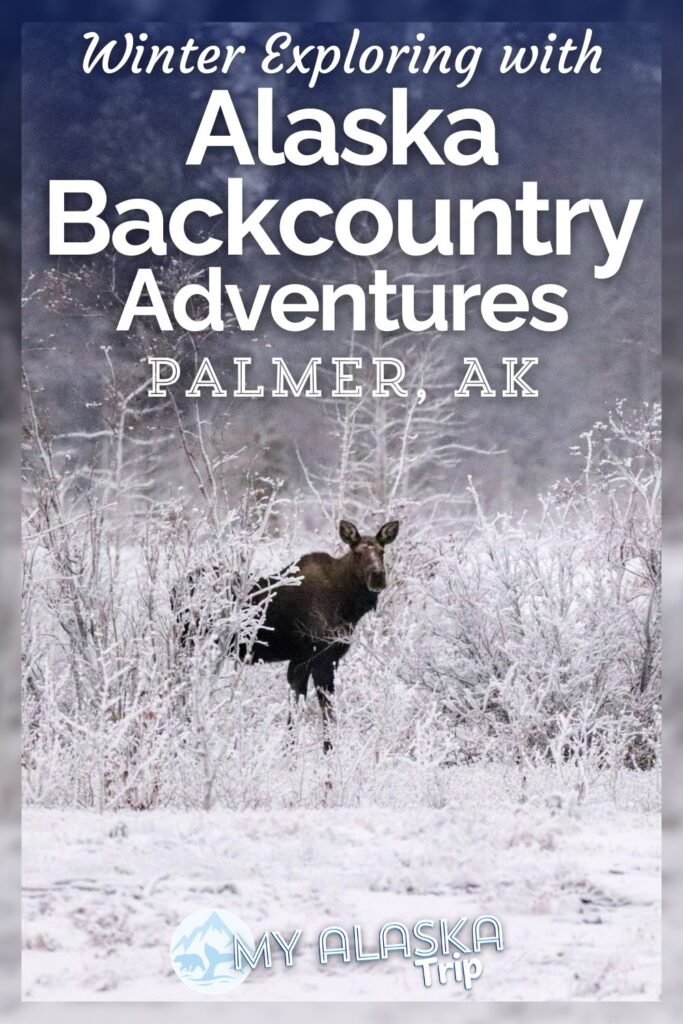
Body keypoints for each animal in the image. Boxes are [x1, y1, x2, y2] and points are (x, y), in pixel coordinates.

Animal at [173, 519, 400, 752]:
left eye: (382, 551)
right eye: (358, 553)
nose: (378, 576)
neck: (348, 606)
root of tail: (176, 589)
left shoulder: (302, 659)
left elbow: (296, 706)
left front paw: (289, 751)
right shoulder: (321, 656)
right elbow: (326, 709)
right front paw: (328, 752)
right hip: (189, 642)